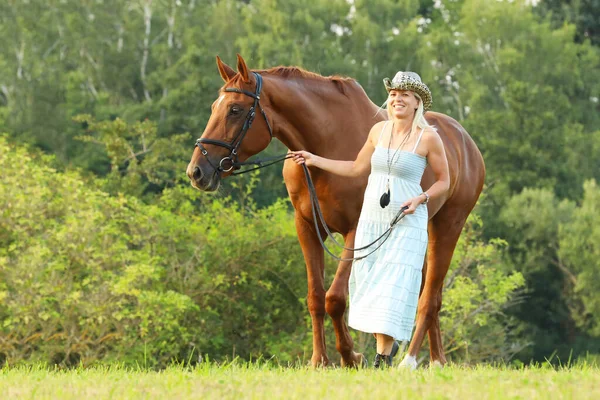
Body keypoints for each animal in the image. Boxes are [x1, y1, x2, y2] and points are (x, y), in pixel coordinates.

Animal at [185, 54, 486, 368]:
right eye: (214, 107)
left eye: (235, 109)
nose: (196, 171)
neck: (327, 142)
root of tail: (464, 141)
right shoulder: (307, 227)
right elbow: (316, 297)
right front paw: (319, 359)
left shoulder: (355, 231)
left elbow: (336, 299)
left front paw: (350, 355)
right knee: (426, 291)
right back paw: (422, 356)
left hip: (448, 226)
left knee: (430, 297)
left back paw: (420, 360)